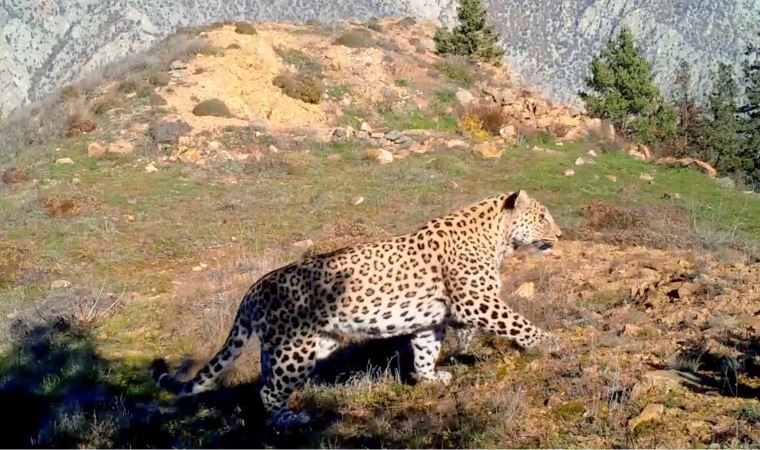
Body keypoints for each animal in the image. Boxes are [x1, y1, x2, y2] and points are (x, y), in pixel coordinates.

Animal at [150, 189, 564, 428]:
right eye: (542, 216)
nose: (560, 235)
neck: (498, 240)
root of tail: (254, 288)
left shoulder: (431, 320)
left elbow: (425, 352)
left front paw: (431, 377)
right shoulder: (477, 301)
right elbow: (516, 322)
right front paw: (550, 341)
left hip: (301, 345)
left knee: (266, 381)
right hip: (295, 348)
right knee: (270, 390)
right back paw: (291, 419)